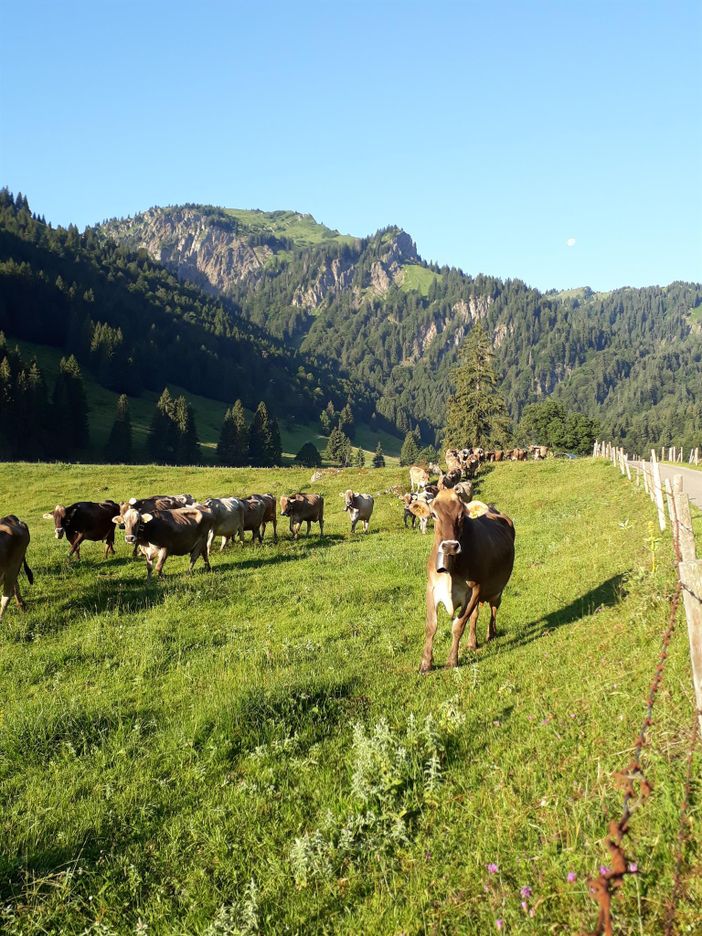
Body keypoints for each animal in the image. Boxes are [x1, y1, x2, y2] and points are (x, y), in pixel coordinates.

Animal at [412, 490, 516, 672]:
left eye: (461, 515)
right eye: (433, 514)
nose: (450, 546)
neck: (451, 572)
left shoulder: (475, 590)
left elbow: (458, 625)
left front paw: (452, 660)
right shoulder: (432, 588)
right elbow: (431, 626)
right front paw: (425, 663)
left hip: (498, 588)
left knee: (494, 608)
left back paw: (491, 633)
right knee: (475, 616)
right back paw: (472, 643)